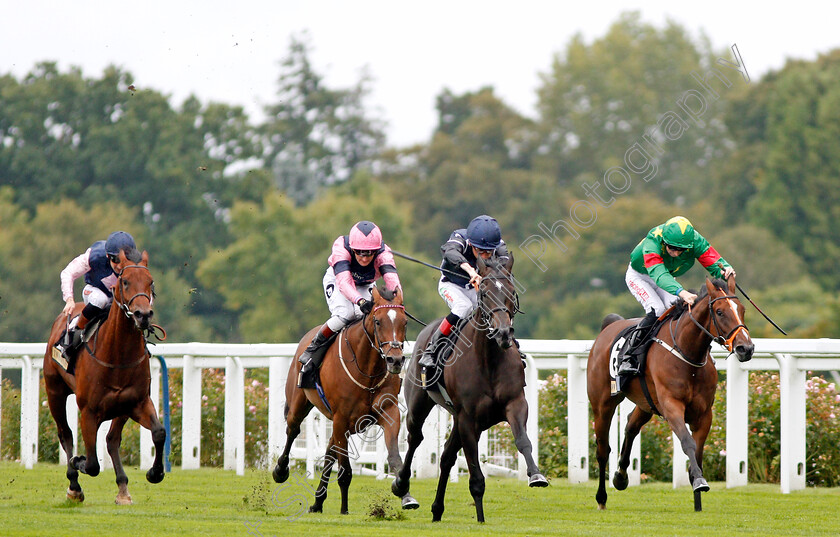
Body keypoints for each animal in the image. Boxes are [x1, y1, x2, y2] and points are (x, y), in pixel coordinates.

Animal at [43, 250, 166, 502]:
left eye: (150, 282)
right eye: (125, 281)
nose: (143, 315)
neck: (117, 355)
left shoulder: (139, 402)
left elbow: (159, 432)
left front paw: (155, 472)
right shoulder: (89, 412)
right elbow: (91, 464)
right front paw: (77, 461)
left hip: (122, 408)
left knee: (111, 439)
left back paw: (123, 488)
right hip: (54, 391)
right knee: (65, 434)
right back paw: (74, 485)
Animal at [272, 286, 416, 512]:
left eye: (404, 322)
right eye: (378, 321)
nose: (395, 360)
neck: (368, 370)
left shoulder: (389, 412)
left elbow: (394, 455)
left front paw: (405, 493)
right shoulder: (341, 418)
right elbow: (345, 471)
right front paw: (344, 510)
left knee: (330, 450)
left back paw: (318, 501)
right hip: (299, 404)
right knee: (293, 430)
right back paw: (280, 471)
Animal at [390, 253, 548, 520]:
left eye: (511, 291)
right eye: (483, 292)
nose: (503, 333)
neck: (488, 359)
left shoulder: (514, 404)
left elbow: (522, 440)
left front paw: (536, 475)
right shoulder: (468, 417)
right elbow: (475, 476)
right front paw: (481, 518)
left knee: (446, 457)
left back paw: (437, 510)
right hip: (419, 405)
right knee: (415, 438)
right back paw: (402, 486)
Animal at [592, 276, 756, 510]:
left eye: (742, 310)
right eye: (720, 312)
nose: (746, 348)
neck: (687, 354)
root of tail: (608, 327)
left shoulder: (704, 413)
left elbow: (698, 451)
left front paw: (697, 496)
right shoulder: (672, 406)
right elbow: (687, 442)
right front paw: (699, 482)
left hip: (646, 403)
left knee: (631, 426)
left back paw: (620, 477)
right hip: (603, 404)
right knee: (603, 449)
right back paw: (601, 498)